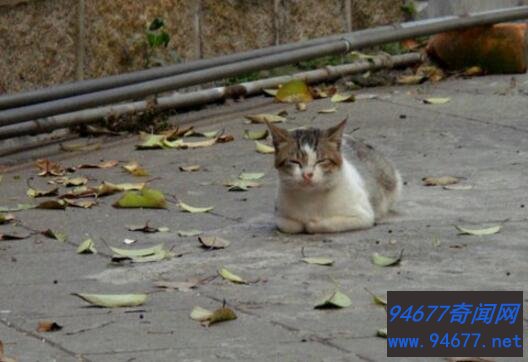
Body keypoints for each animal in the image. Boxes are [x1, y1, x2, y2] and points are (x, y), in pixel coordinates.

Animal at [266, 117, 402, 233]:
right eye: (295, 161)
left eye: (321, 161)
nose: (307, 174)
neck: (310, 198)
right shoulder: (280, 216)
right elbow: (291, 225)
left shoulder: (363, 216)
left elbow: (323, 224)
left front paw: (312, 224)